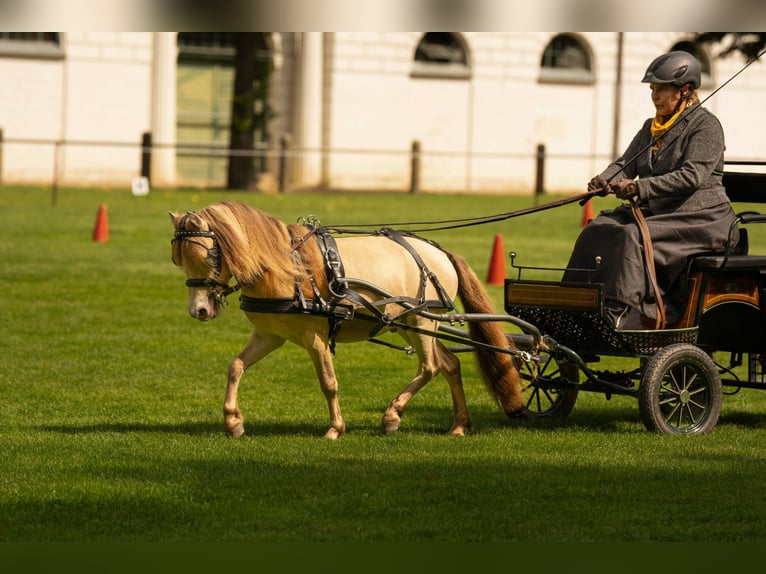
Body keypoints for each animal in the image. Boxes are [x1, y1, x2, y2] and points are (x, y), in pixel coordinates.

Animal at [169, 200, 524, 438]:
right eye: (178, 259)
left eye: (210, 255)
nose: (199, 311)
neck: (289, 270)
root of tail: (440, 253)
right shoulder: (271, 335)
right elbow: (235, 367)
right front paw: (233, 422)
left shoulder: (315, 338)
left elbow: (328, 382)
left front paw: (335, 429)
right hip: (409, 324)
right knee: (450, 364)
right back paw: (459, 424)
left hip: (423, 324)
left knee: (431, 366)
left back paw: (392, 416)